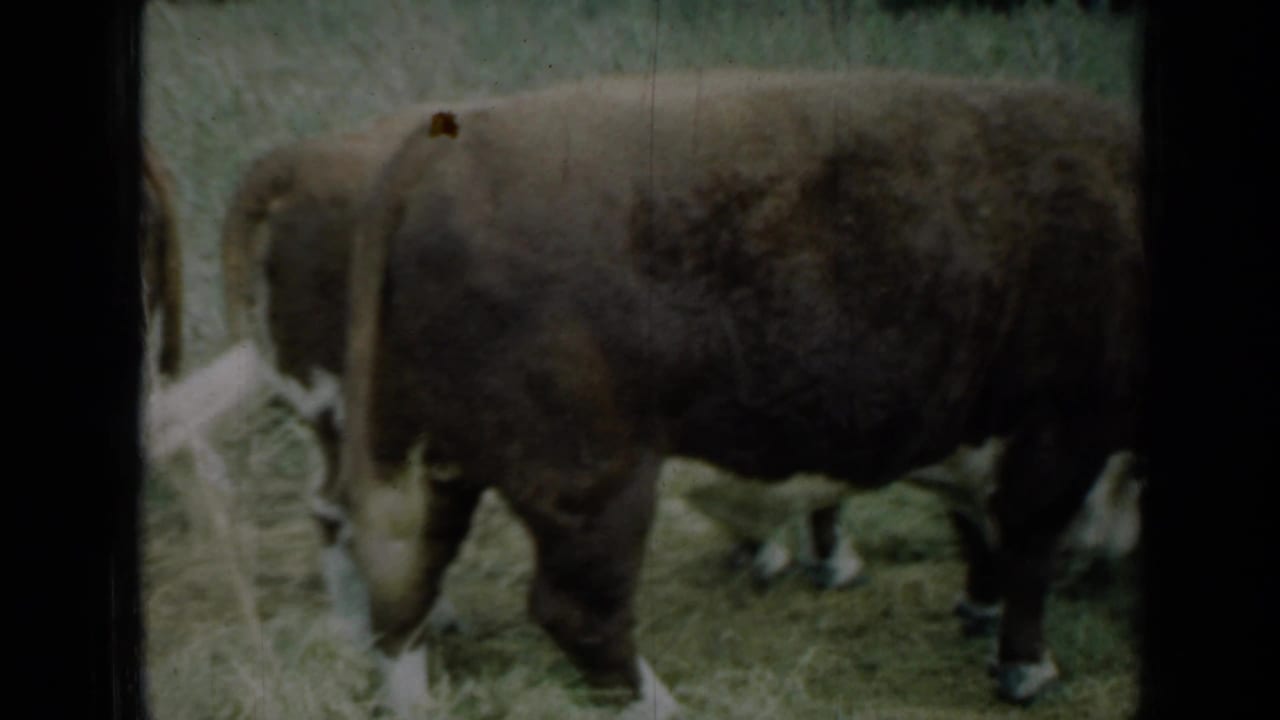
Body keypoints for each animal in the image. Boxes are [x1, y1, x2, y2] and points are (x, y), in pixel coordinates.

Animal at [336, 68, 1146, 717]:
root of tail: (443, 148)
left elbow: (978, 527)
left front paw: (978, 608)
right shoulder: (1060, 429)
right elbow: (1031, 548)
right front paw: (1027, 667)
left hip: (424, 461)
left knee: (405, 588)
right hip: (592, 477)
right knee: (577, 612)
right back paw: (664, 706)